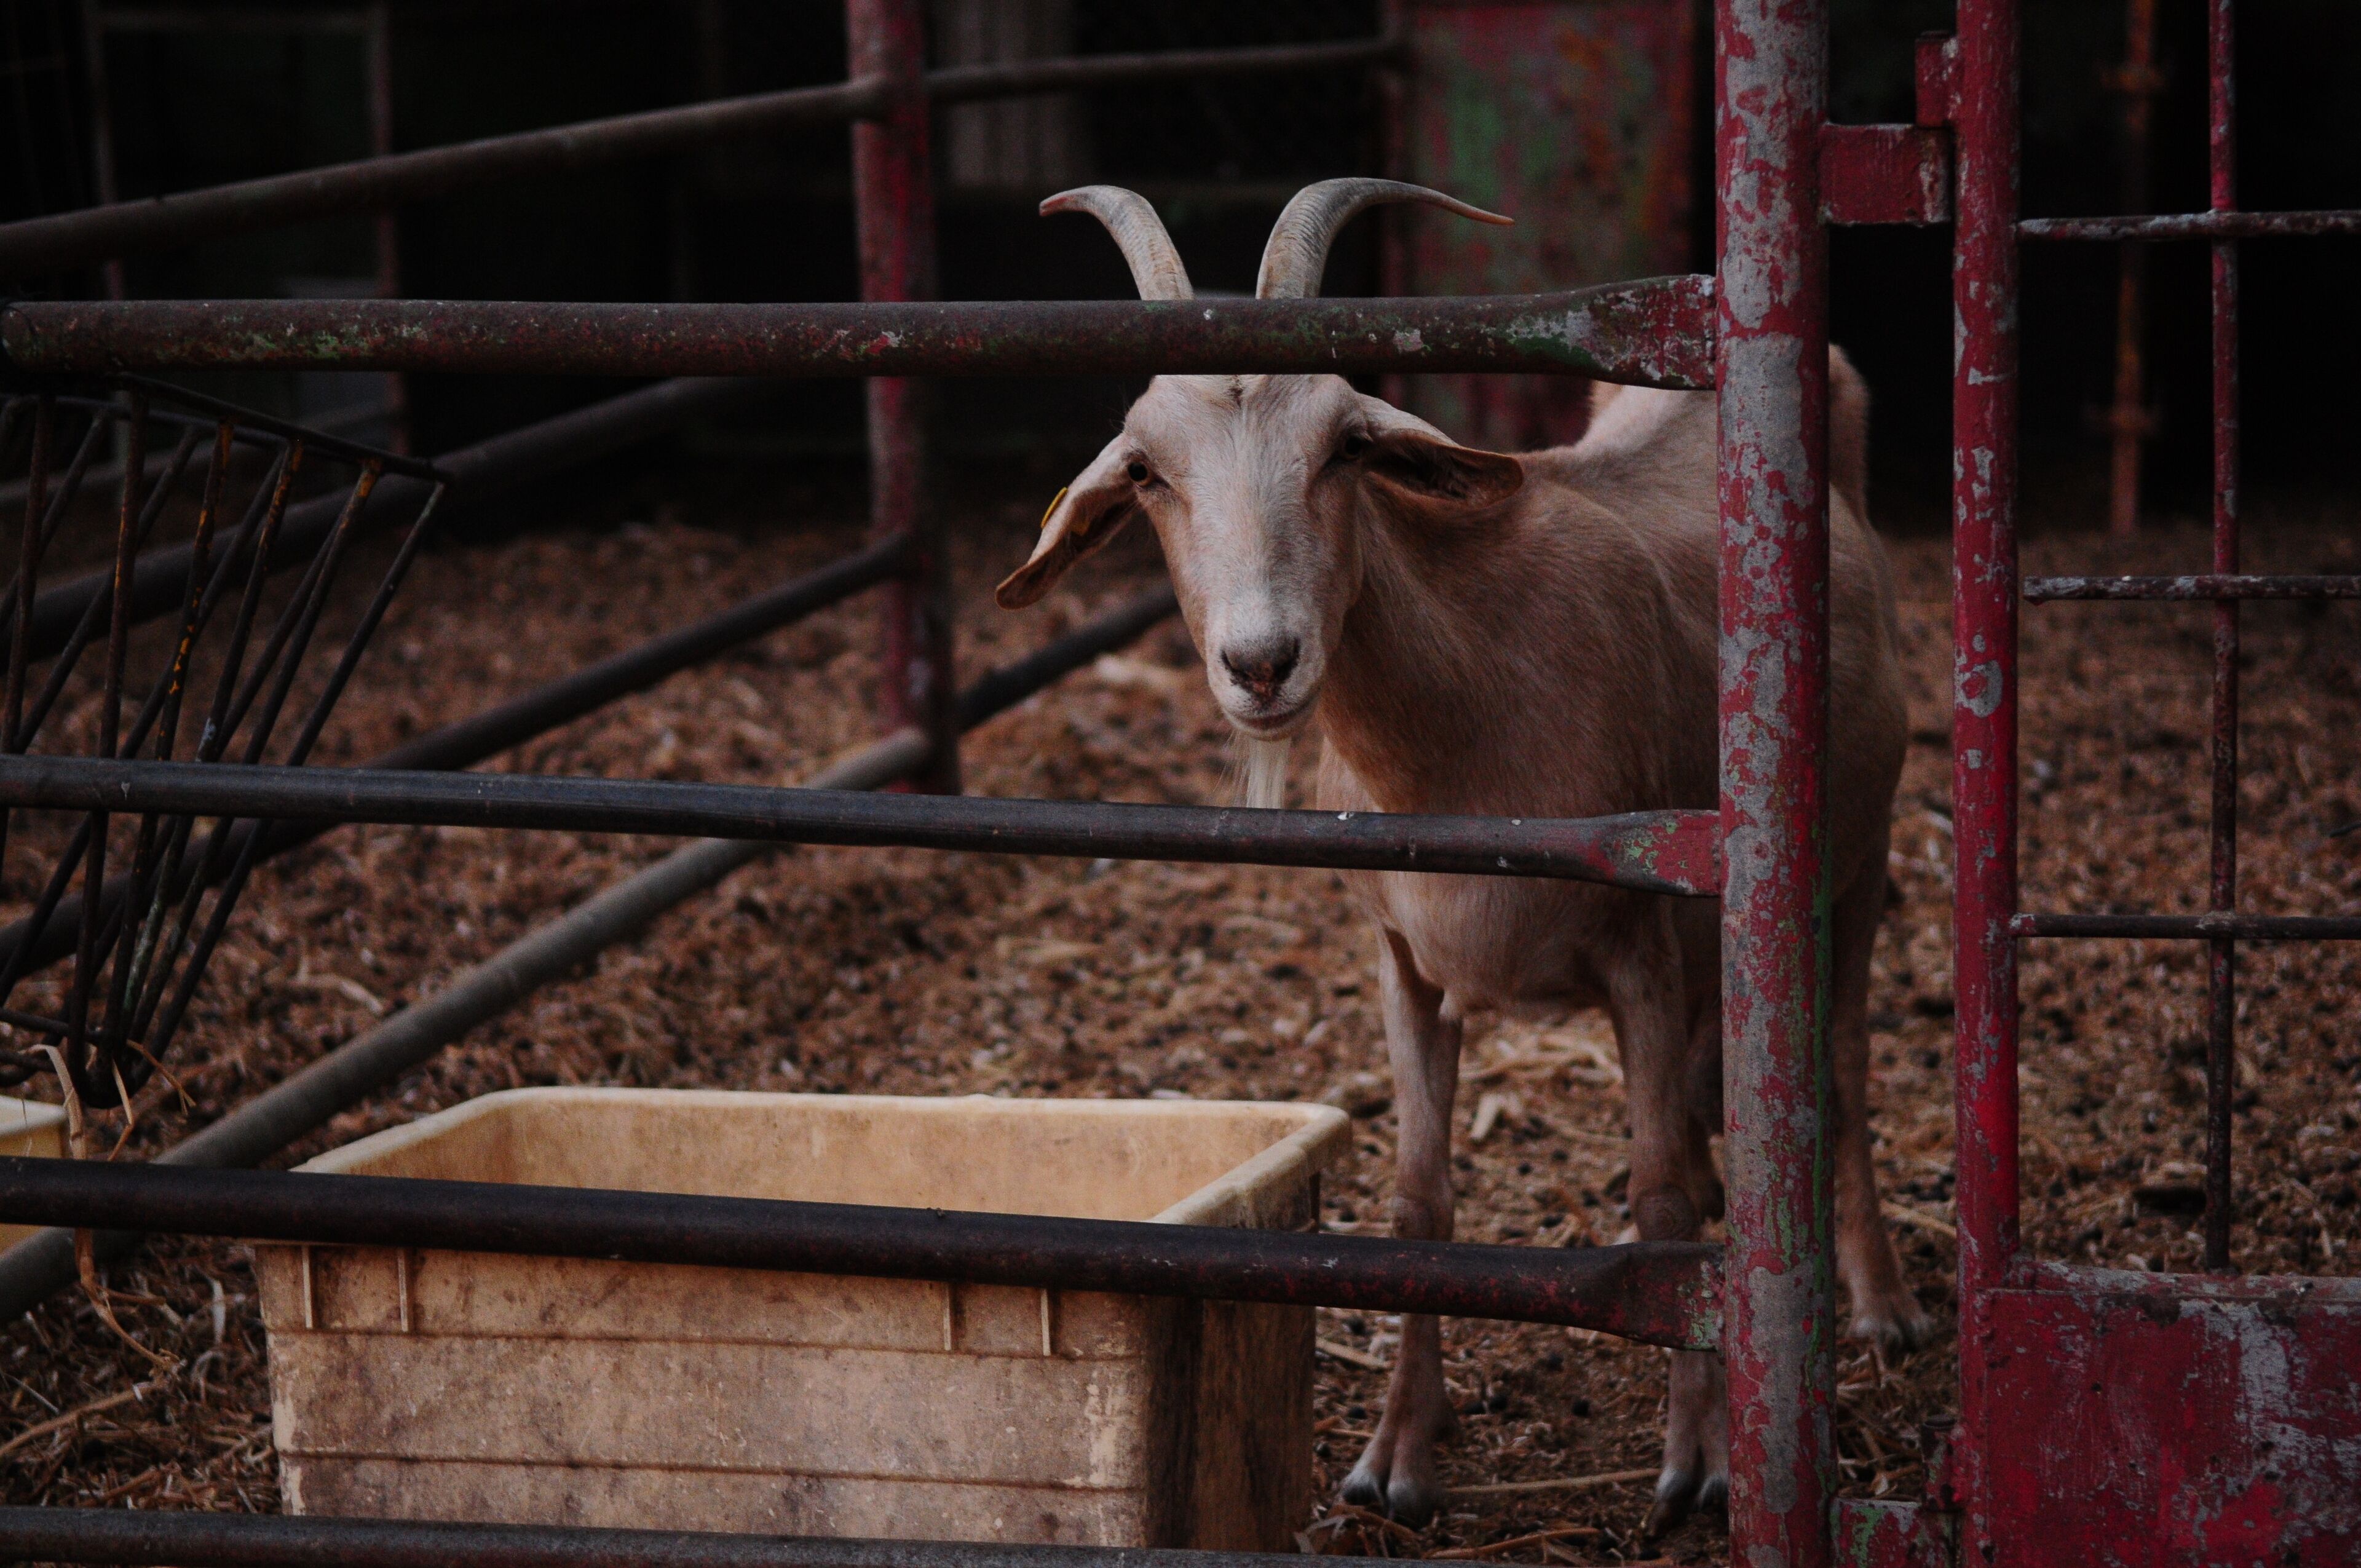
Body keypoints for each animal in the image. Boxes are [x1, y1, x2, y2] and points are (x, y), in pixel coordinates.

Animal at [999, 180, 1926, 1535]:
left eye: (1345, 445)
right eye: (1148, 471)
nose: (1262, 662)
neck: (1471, 709)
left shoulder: (1639, 943)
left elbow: (1655, 1195)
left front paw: (1700, 1460)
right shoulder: (1405, 960)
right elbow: (1419, 1201)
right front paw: (1396, 1458)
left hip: (1854, 854)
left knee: (1844, 1064)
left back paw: (1877, 1305)